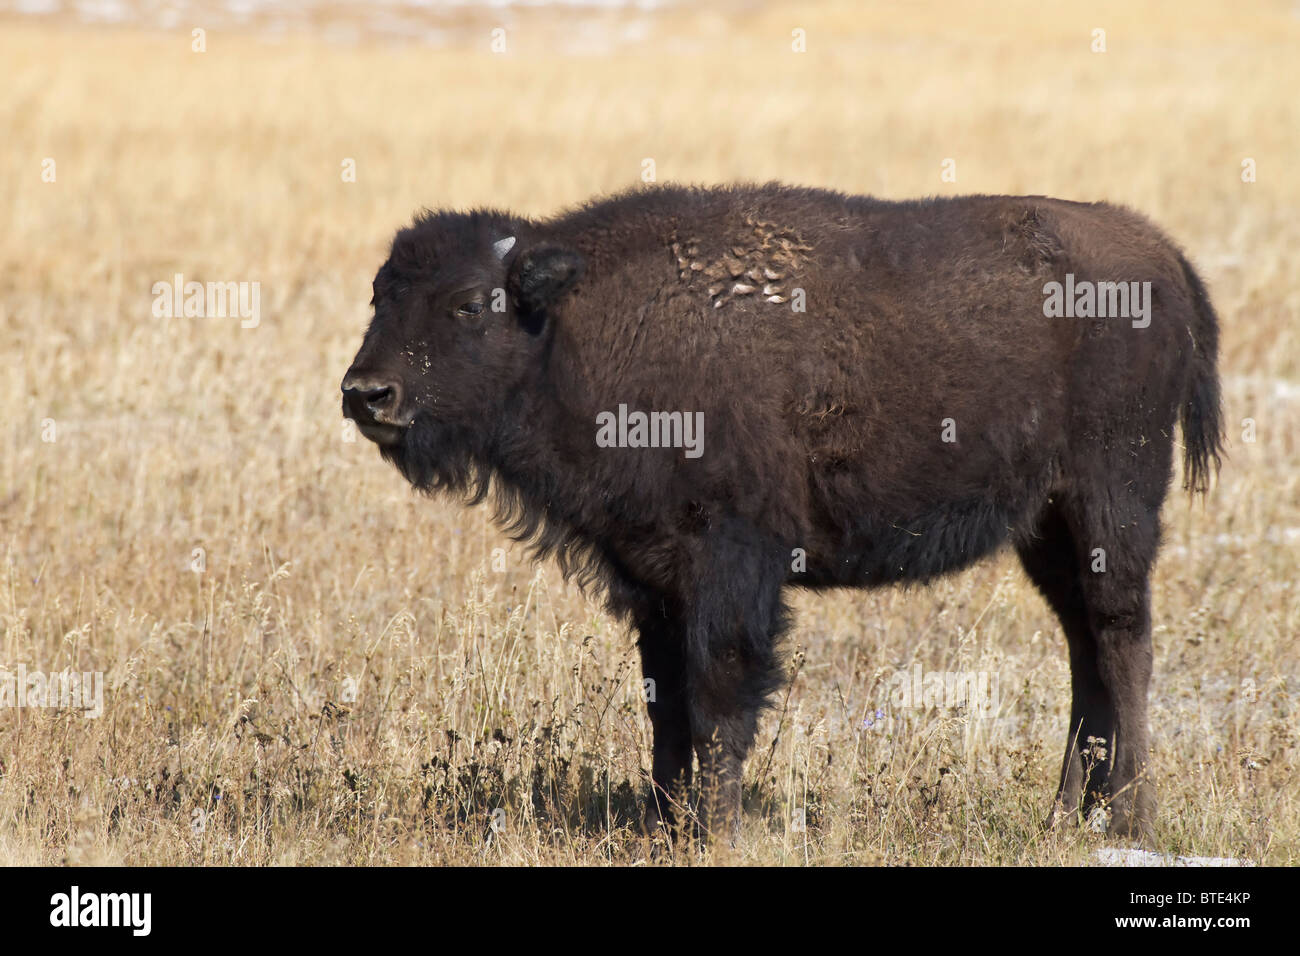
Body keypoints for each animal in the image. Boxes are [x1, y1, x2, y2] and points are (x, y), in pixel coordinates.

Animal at [338, 184, 1216, 842]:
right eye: (379, 296)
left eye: (467, 306)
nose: (366, 393)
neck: (574, 323)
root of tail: (1162, 256)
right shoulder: (656, 583)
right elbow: (665, 707)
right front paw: (666, 826)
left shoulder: (728, 567)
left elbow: (719, 697)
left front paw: (716, 830)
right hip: (1048, 528)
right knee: (1084, 649)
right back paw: (1066, 816)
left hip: (1111, 501)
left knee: (1121, 642)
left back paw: (1130, 819)